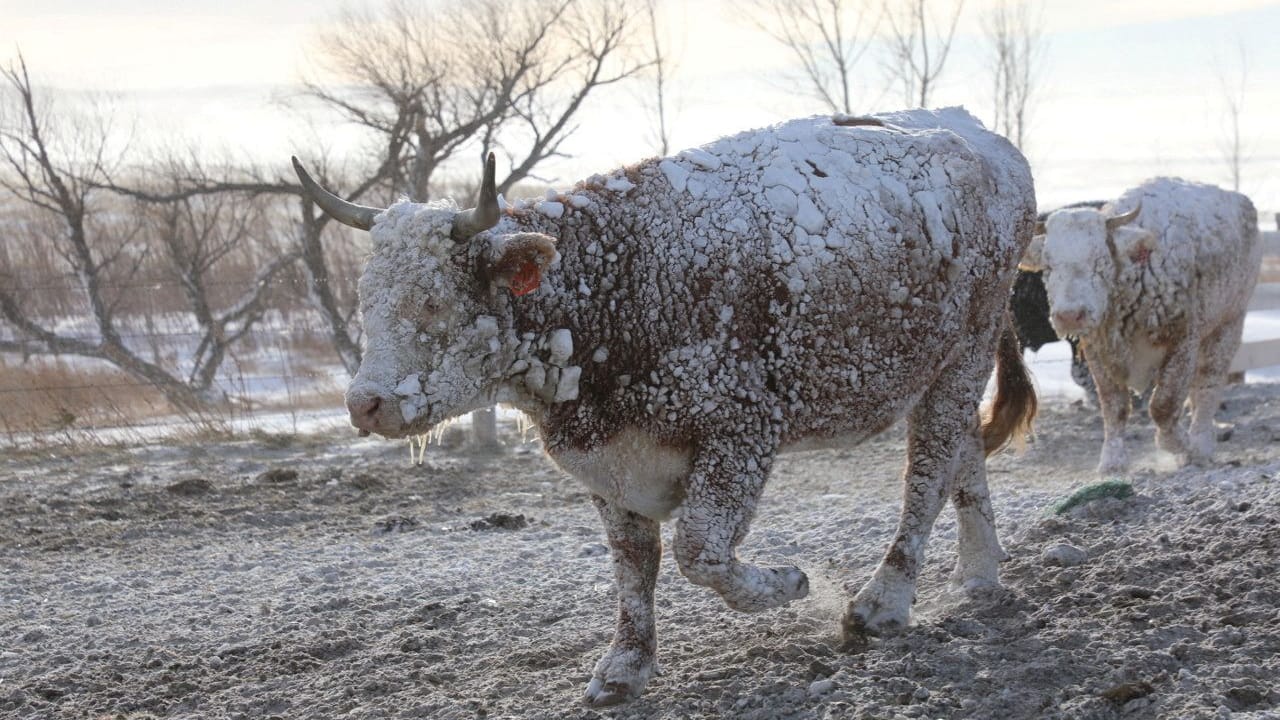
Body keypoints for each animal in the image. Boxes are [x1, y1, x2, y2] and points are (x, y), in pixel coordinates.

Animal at [293, 106, 1039, 702]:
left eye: (432, 302)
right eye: (366, 299)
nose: (366, 404)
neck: (613, 283)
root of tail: (983, 139)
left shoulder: (741, 431)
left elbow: (697, 551)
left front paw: (789, 584)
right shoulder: (610, 465)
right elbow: (634, 566)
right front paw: (625, 665)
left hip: (961, 356)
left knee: (928, 472)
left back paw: (883, 602)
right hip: (948, 368)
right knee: (962, 457)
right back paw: (979, 574)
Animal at [1018, 176, 1259, 474]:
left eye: (1100, 261)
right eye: (1049, 266)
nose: (1070, 316)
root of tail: (1240, 201)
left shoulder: (1182, 342)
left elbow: (1163, 405)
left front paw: (1181, 445)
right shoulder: (1097, 352)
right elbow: (1114, 407)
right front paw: (1112, 460)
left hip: (1228, 323)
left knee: (1208, 384)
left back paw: (1201, 444)